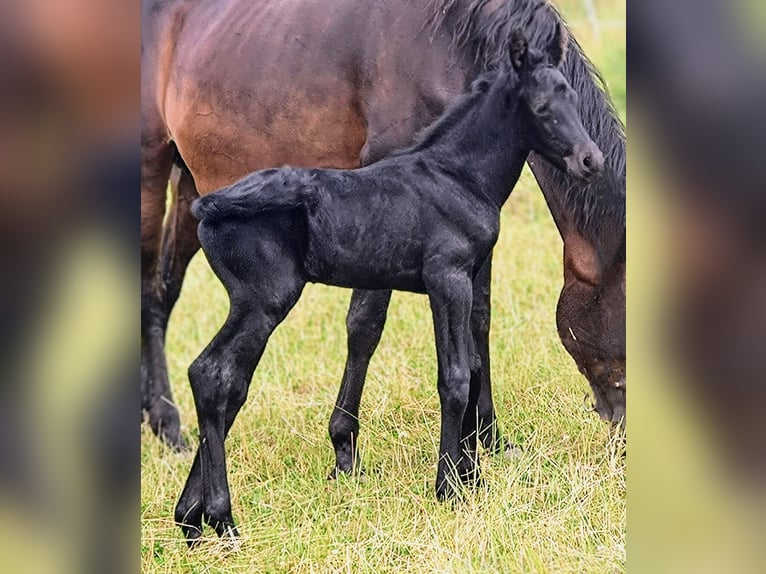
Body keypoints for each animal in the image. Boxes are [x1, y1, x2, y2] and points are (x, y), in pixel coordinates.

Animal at [141, 0, 625, 460]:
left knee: (166, 290)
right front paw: (345, 444)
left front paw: (486, 438)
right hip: (151, 173)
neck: (451, 41)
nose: (621, 428)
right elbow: (365, 325)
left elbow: (479, 318)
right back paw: (168, 426)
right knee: (149, 288)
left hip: (195, 187)